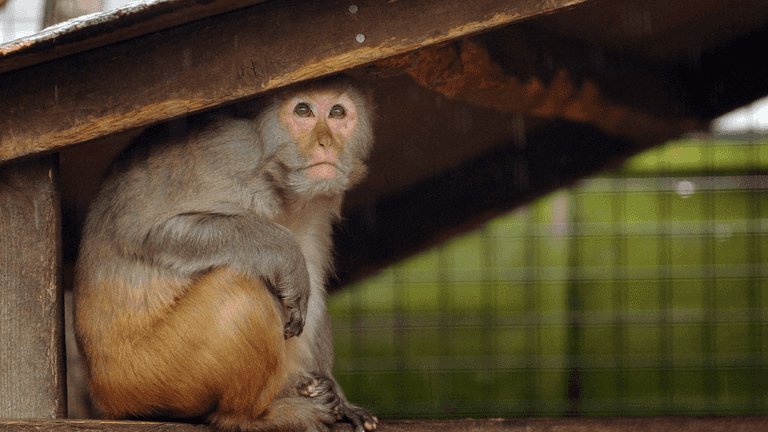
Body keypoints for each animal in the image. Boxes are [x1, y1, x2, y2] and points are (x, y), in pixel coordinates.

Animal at [73, 76, 377, 432]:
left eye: (337, 112)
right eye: (303, 110)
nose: (325, 143)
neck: (280, 181)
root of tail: (98, 387)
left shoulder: (319, 204)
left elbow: (312, 278)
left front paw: (338, 395)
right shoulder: (228, 153)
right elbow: (143, 232)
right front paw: (285, 253)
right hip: (142, 377)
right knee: (240, 292)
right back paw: (249, 417)